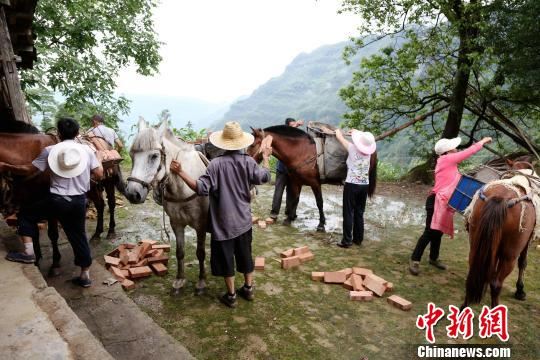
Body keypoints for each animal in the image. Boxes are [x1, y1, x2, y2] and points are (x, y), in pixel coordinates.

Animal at [124, 119, 209, 294]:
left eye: (154, 156)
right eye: (131, 155)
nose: (132, 193)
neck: (184, 187)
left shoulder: (201, 225)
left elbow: (200, 253)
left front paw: (201, 282)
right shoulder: (176, 223)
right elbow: (180, 252)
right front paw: (179, 280)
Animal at [247, 125, 378, 232]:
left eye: (252, 145)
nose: (247, 161)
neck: (301, 152)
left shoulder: (315, 183)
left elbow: (319, 203)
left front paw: (321, 224)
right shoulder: (296, 182)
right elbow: (295, 199)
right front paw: (289, 218)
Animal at [462, 162, 536, 308]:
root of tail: (502, 198)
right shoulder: (527, 242)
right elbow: (523, 262)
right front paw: (520, 291)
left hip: (475, 243)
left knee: (472, 273)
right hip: (510, 255)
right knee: (496, 284)